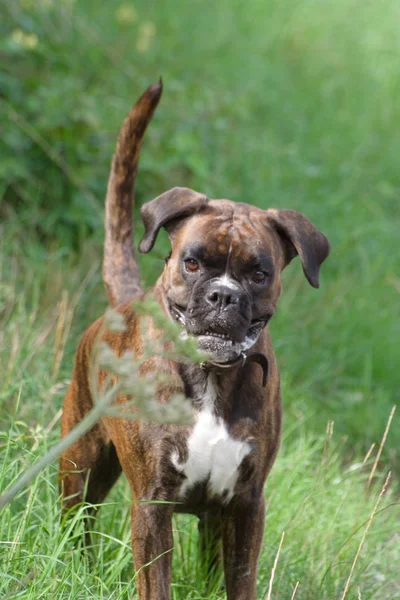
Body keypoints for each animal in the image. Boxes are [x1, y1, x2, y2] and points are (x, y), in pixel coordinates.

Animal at [58, 81, 328, 600]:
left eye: (259, 273)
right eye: (192, 262)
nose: (224, 295)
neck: (209, 379)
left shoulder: (245, 507)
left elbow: (239, 580)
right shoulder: (152, 504)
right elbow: (156, 581)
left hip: (210, 520)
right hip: (80, 466)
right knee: (76, 524)